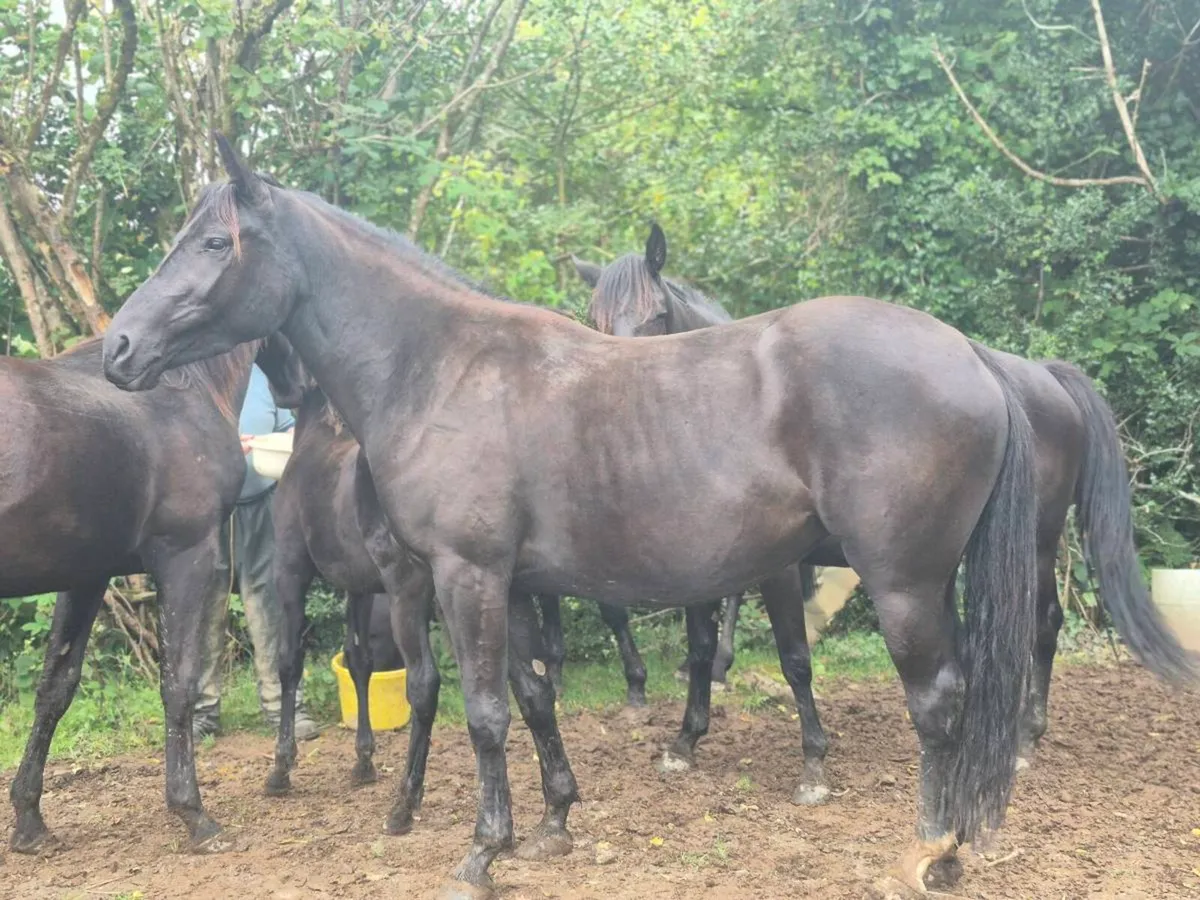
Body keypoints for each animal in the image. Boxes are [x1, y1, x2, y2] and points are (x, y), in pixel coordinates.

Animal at [0, 330, 302, 859]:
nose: (301, 393)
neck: (184, 388)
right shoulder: (187, 556)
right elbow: (178, 685)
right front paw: (194, 815)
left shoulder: (87, 575)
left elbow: (55, 688)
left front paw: (30, 820)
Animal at [578, 224, 1196, 773]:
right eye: (595, 322)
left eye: (658, 315)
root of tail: (1039, 377)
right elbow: (702, 647)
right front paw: (686, 739)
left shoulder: (779, 568)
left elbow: (794, 658)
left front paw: (813, 759)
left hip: (1037, 543)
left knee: (1043, 624)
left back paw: (1024, 738)